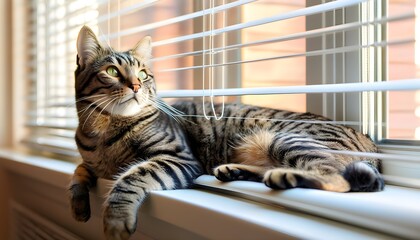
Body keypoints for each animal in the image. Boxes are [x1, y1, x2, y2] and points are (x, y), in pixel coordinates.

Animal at [69, 25, 384, 239]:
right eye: (112, 71)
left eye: (144, 75)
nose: (136, 86)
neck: (103, 133)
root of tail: (372, 145)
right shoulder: (90, 161)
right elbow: (78, 172)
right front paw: (78, 205)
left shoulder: (179, 158)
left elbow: (130, 178)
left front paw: (115, 218)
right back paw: (235, 171)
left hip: (286, 139)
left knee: (335, 178)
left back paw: (284, 176)